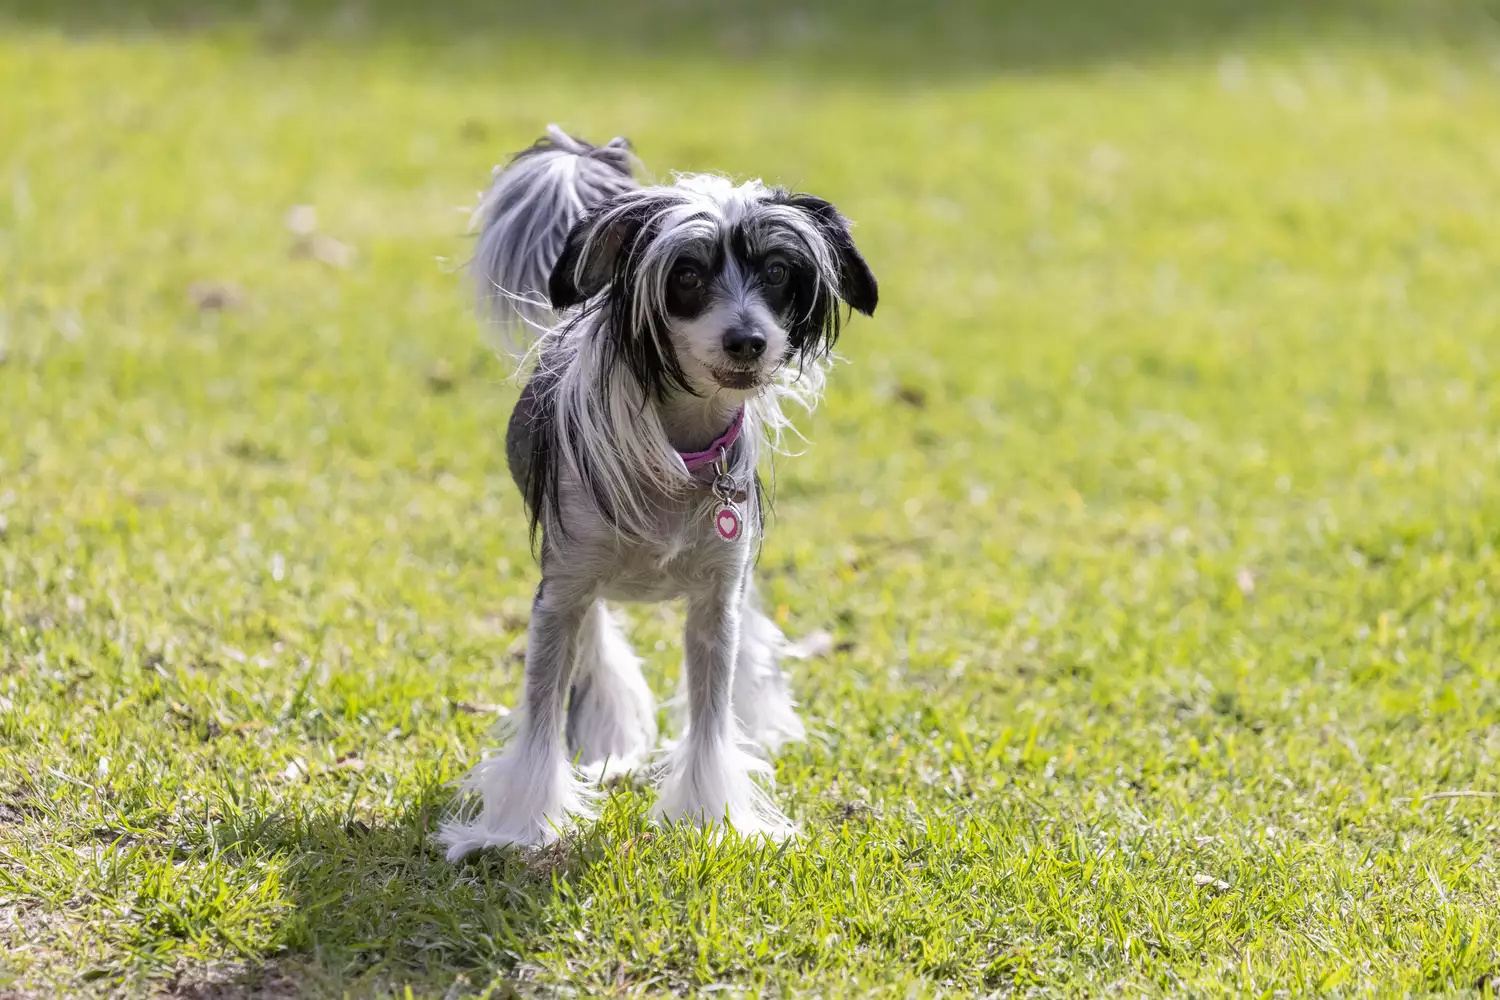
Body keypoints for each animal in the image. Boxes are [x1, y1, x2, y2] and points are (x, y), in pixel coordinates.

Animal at [438, 125, 876, 863]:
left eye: (778, 274)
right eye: (688, 276)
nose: (748, 341)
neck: (680, 450)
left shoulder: (716, 603)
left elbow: (710, 719)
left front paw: (713, 819)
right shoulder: (560, 591)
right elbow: (541, 715)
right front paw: (520, 828)